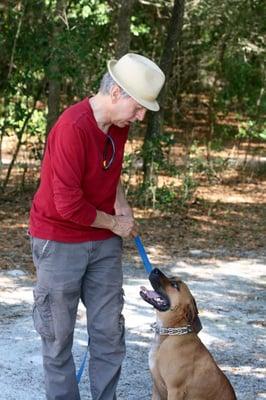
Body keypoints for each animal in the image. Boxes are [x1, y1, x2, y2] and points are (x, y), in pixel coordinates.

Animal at [140, 268, 236, 400]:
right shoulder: (156, 388)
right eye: (172, 278)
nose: (155, 269)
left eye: (175, 285)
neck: (169, 334)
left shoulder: (175, 390)